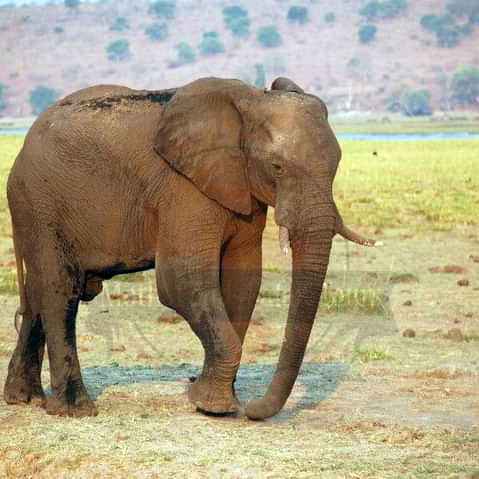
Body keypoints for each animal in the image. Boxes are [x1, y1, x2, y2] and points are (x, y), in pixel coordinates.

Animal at [4, 76, 376, 420]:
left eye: (337, 165)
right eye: (277, 167)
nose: (254, 408)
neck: (252, 100)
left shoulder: (241, 190)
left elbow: (243, 281)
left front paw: (211, 401)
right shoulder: (183, 188)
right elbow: (182, 281)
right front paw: (215, 406)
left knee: (38, 292)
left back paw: (24, 399)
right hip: (39, 202)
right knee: (59, 290)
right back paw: (74, 410)